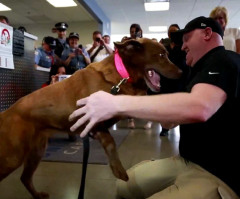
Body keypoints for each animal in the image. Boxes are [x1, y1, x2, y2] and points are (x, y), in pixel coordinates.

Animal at [0, 38, 181, 198]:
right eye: (161, 55)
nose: (181, 72)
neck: (121, 74)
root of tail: (6, 113)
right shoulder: (94, 121)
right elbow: (110, 142)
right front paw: (118, 169)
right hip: (13, 157)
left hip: (36, 151)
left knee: (25, 178)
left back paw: (37, 195)